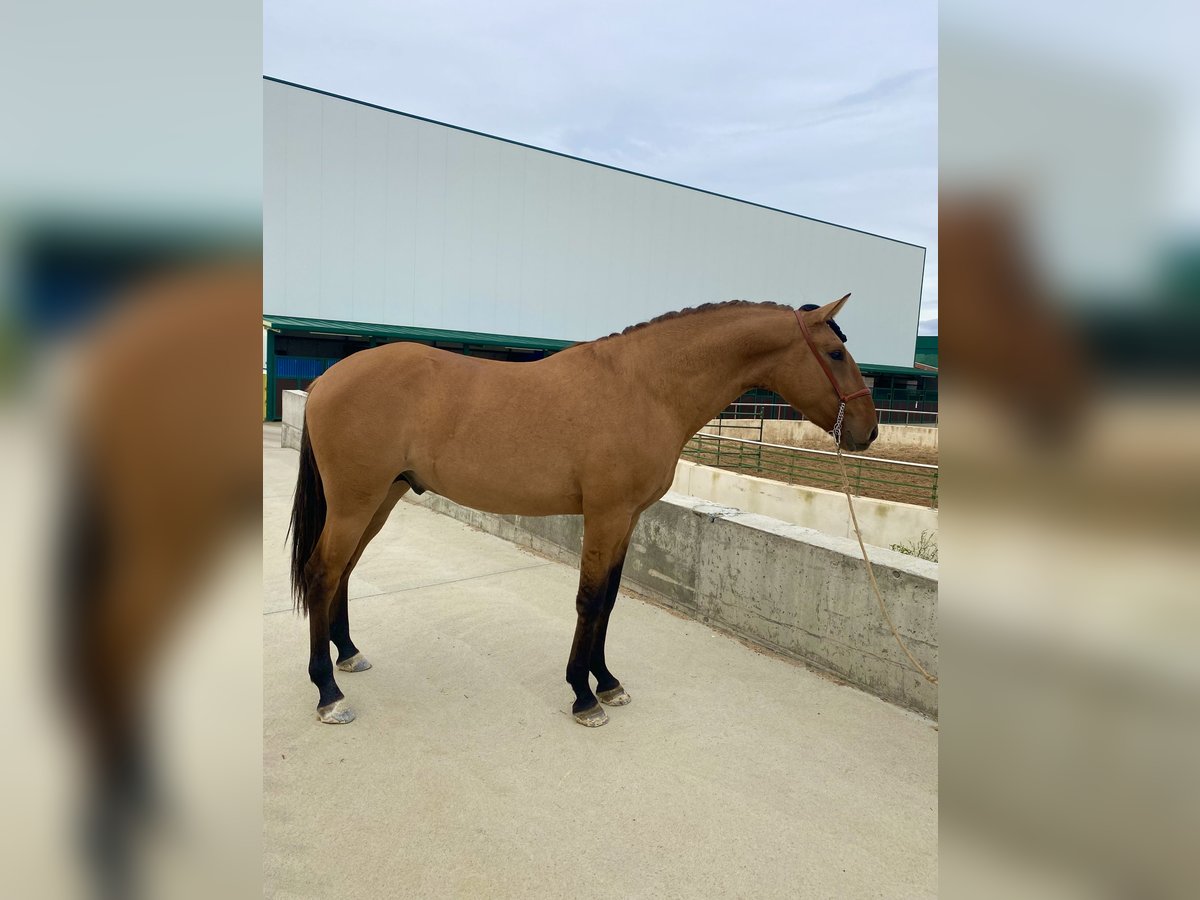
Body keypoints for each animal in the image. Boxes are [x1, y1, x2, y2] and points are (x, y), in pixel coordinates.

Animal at [285, 292, 878, 729]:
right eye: (834, 353)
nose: (868, 431)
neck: (645, 387)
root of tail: (327, 378)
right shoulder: (607, 514)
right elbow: (590, 600)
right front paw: (583, 695)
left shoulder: (628, 519)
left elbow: (609, 601)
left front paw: (607, 683)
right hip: (356, 501)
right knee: (322, 572)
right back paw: (328, 692)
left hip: (380, 498)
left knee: (343, 571)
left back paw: (347, 654)